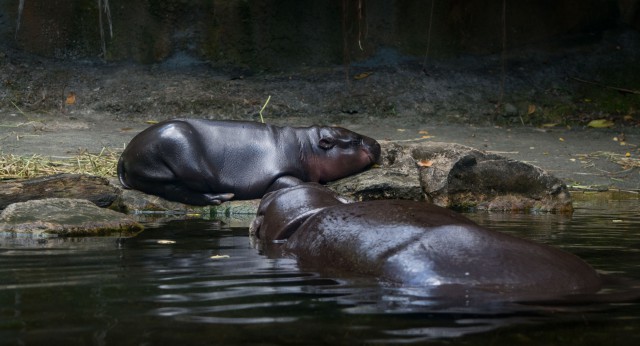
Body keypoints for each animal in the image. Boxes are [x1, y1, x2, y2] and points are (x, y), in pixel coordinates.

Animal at [117, 119, 380, 205]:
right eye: (355, 140)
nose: (376, 143)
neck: (307, 146)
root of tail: (125, 152)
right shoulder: (279, 176)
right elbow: (306, 184)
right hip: (179, 153)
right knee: (177, 191)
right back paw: (221, 197)